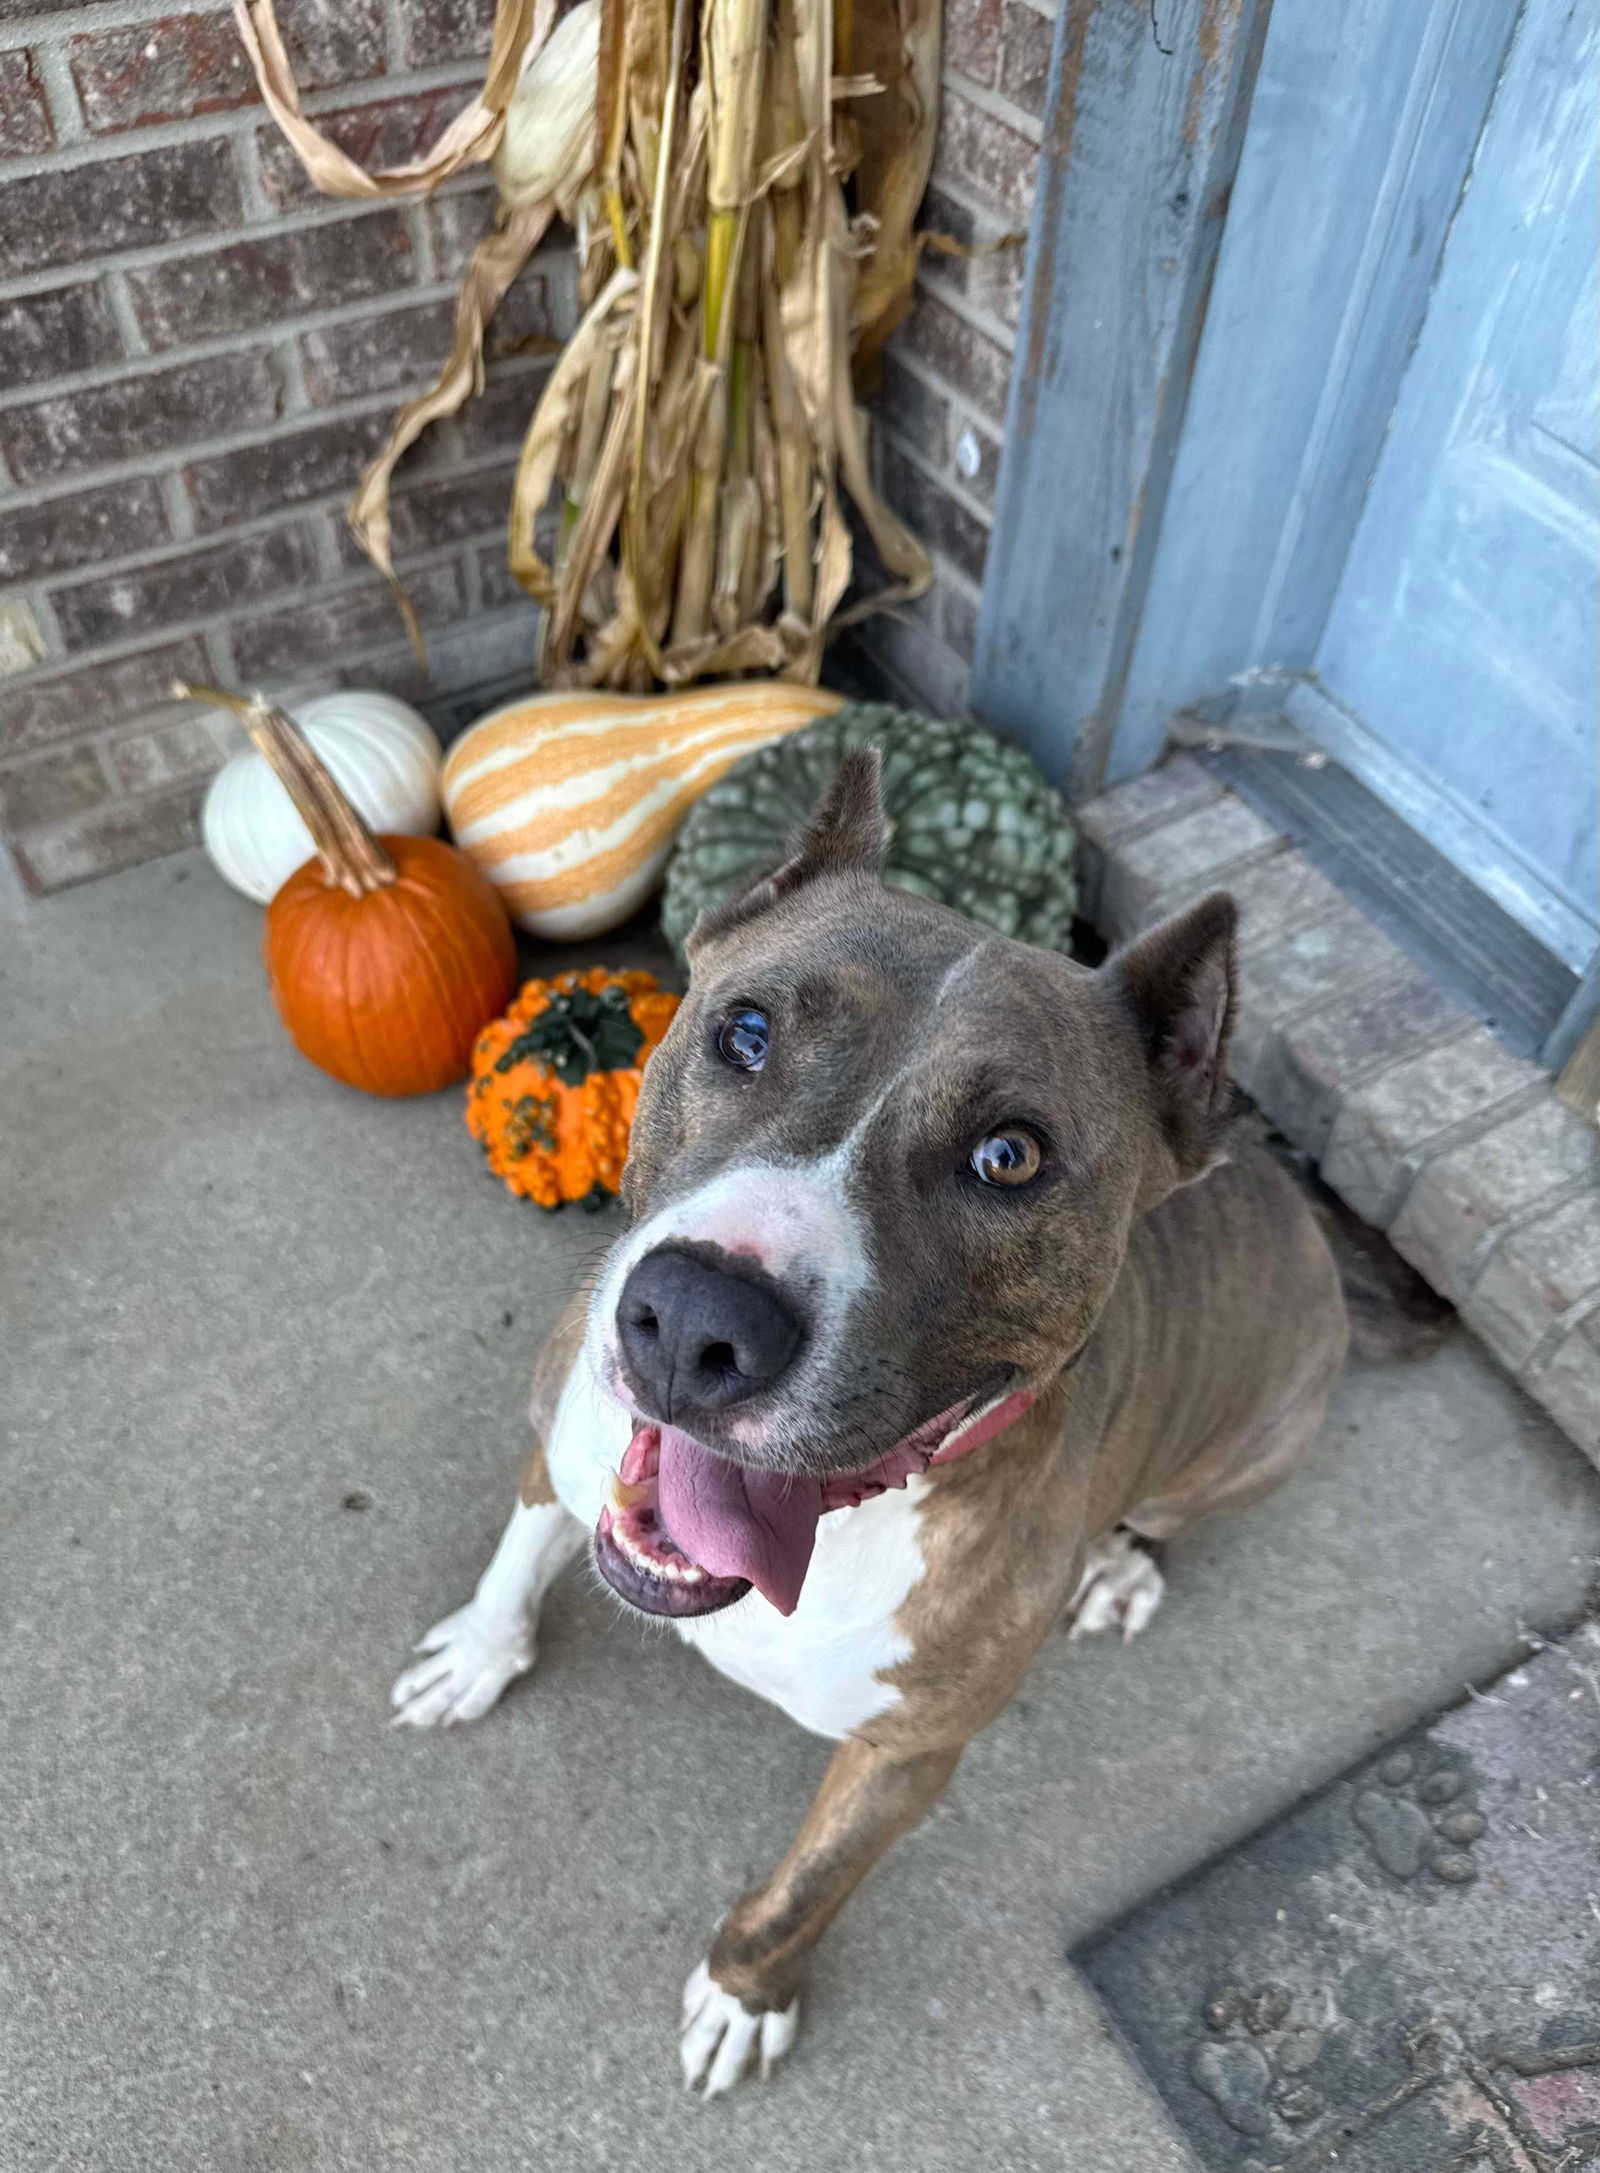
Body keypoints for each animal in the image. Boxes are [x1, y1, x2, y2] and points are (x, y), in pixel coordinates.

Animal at [391, 747, 1347, 2086]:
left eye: (1010, 1155)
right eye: (744, 1032)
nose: (696, 1321)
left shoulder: (908, 1755)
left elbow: (813, 1882)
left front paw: (747, 1992)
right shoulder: (562, 1435)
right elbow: (520, 1547)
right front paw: (480, 1652)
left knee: (1170, 1519)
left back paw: (1122, 1568)